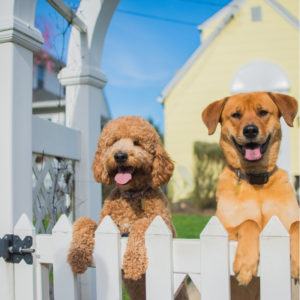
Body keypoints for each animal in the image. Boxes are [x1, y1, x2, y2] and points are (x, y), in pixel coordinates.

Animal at [67, 116, 188, 300]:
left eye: (137, 142)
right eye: (113, 142)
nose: (120, 156)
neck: (132, 195)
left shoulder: (164, 224)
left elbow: (140, 224)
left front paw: (133, 264)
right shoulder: (104, 224)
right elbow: (84, 222)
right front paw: (77, 255)